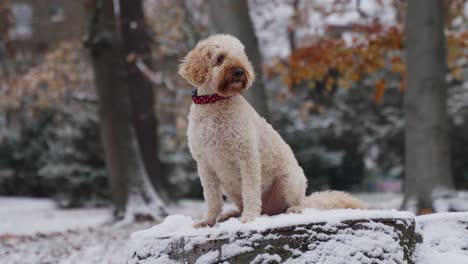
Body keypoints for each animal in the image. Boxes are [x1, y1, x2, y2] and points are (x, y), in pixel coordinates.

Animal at [179, 33, 366, 227]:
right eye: (220, 58)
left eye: (240, 57)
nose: (239, 71)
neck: (214, 103)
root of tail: (269, 210)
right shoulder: (204, 164)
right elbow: (212, 198)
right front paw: (207, 221)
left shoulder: (247, 156)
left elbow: (250, 192)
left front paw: (248, 218)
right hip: (232, 189)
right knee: (245, 206)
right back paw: (231, 214)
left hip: (290, 180)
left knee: (294, 203)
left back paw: (293, 209)